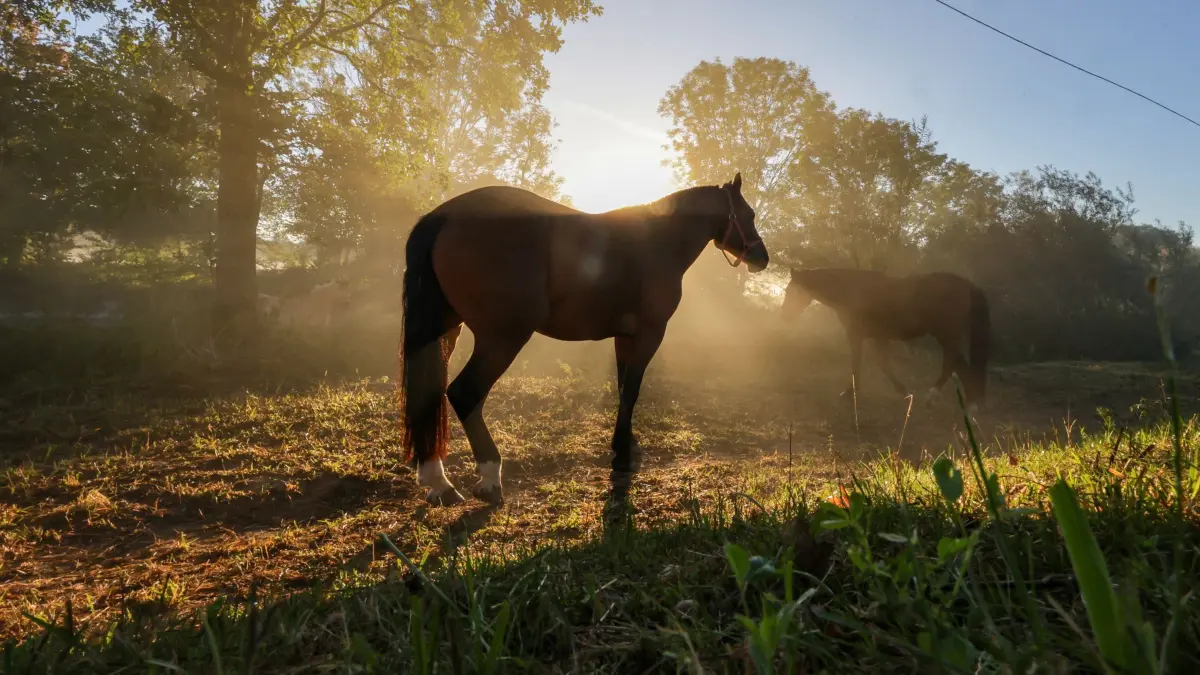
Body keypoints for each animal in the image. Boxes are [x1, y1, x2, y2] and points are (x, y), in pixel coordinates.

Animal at [399, 173, 769, 509]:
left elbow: (623, 388)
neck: (657, 241)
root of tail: (445, 215)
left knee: (430, 393)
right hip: (501, 338)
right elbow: (632, 390)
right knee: (465, 394)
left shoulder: (624, 336)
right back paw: (489, 480)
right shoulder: (649, 334)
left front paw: (626, 445)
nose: (762, 257)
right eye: (747, 214)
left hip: (446, 333)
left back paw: (438, 482)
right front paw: (622, 455)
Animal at [781, 267, 991, 412]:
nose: (785, 316)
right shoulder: (879, 337)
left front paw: (849, 393)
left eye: (790, 291)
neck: (851, 291)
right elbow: (884, 365)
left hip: (946, 334)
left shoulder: (856, 335)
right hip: (947, 335)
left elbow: (857, 364)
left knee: (951, 363)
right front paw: (903, 391)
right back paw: (971, 401)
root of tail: (967, 285)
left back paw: (934, 396)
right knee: (959, 363)